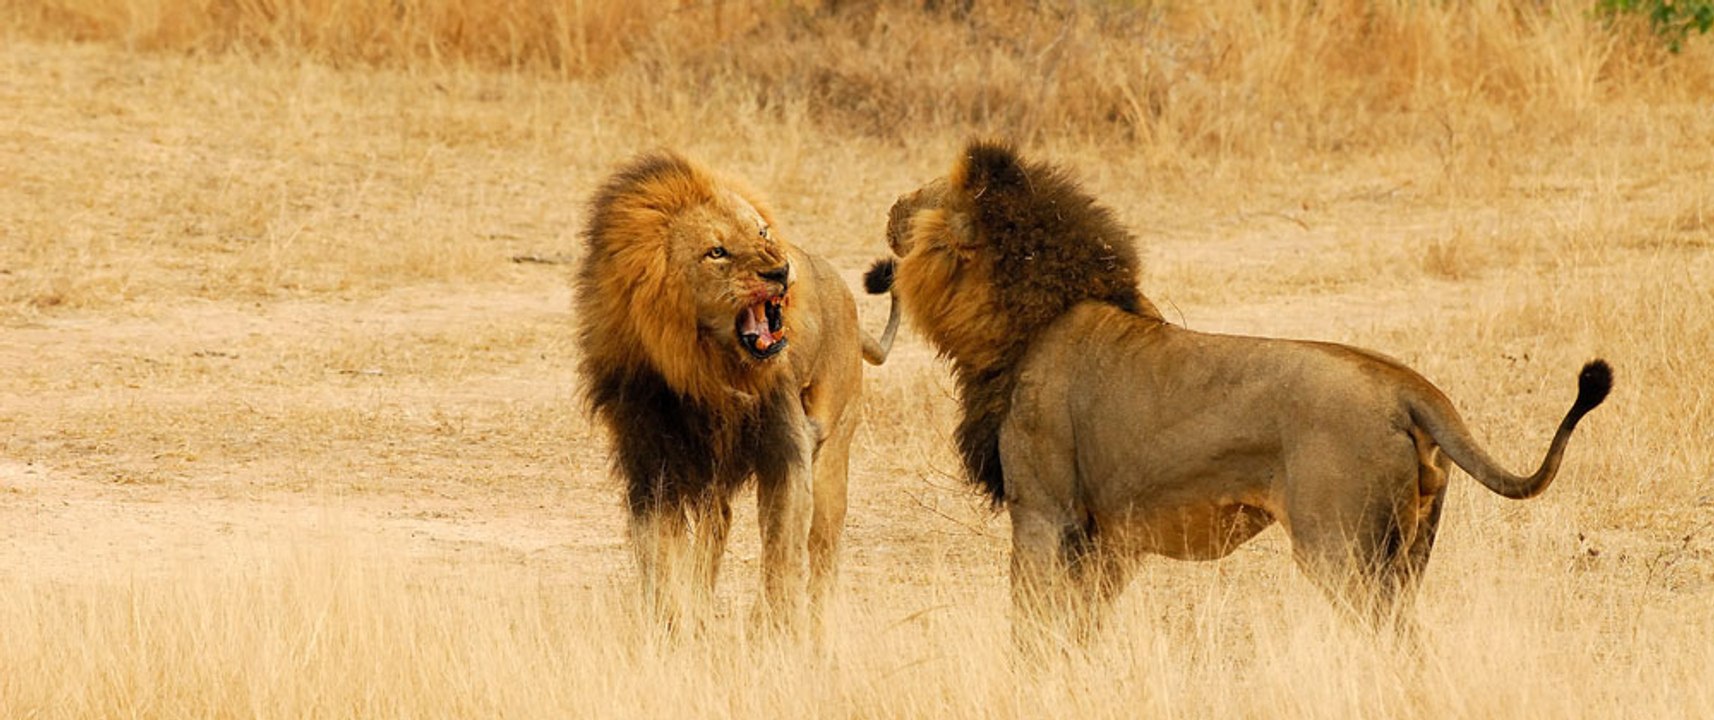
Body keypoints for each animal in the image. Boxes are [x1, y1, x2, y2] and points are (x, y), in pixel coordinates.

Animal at [574, 150, 899, 630]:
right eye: (717, 252)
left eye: (761, 232)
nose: (781, 270)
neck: (708, 370)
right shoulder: (651, 459)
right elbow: (658, 552)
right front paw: (672, 619)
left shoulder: (785, 448)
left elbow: (781, 547)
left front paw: (773, 625)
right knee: (719, 523)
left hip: (833, 456)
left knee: (822, 549)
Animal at [871, 139, 1612, 645]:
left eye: (928, 195)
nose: (889, 207)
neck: (1029, 317)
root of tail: (1405, 385)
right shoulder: (1106, 535)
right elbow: (1081, 622)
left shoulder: (1044, 512)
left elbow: (1030, 618)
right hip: (1410, 549)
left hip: (1340, 548)